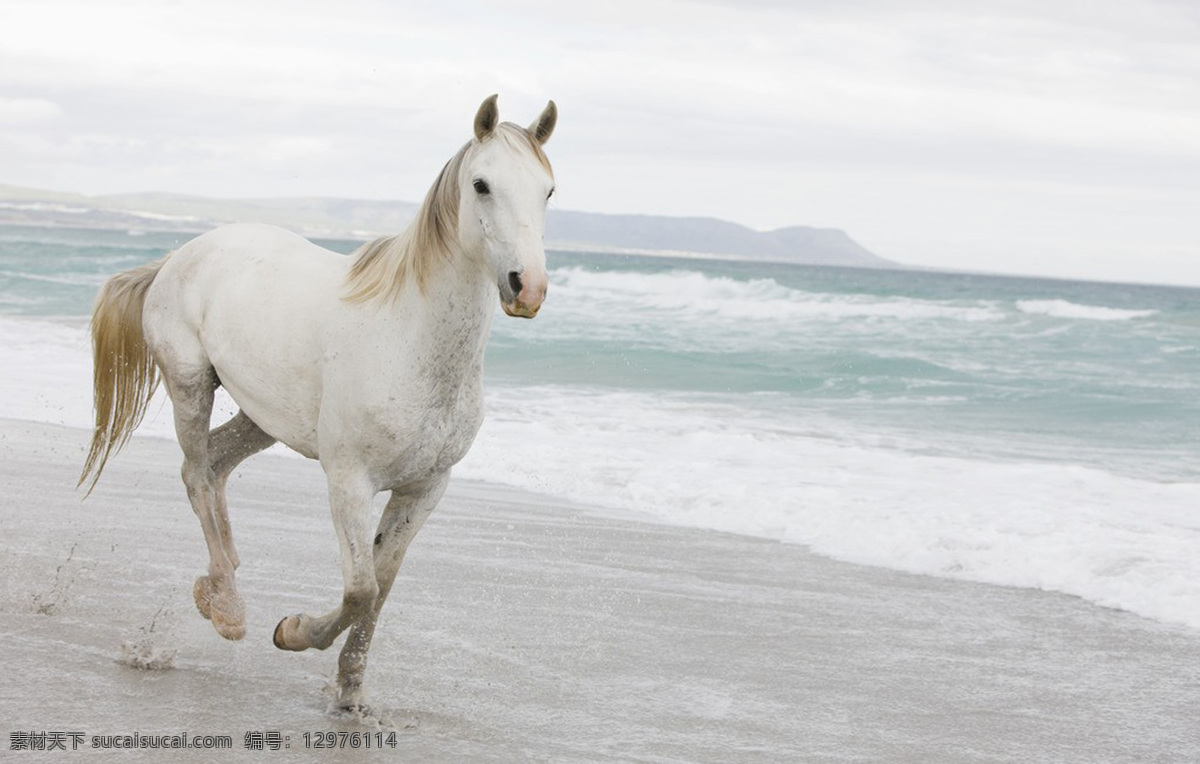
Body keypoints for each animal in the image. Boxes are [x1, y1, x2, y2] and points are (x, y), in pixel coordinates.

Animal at [79, 95, 556, 710]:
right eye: (482, 185)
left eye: (548, 191)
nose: (528, 288)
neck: (409, 336)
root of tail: (179, 255)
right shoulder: (349, 481)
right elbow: (360, 589)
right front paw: (292, 631)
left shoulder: (425, 488)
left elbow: (383, 586)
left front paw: (351, 693)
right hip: (190, 384)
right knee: (197, 473)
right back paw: (228, 608)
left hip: (263, 417)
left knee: (215, 462)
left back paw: (218, 582)